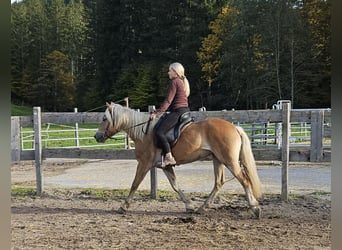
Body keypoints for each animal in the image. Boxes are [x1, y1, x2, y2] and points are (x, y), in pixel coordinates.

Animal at [93, 102, 262, 218]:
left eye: (104, 118)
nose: (96, 136)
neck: (144, 132)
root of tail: (235, 128)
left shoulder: (144, 164)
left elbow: (134, 184)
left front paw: (123, 206)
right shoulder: (165, 166)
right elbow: (175, 185)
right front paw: (189, 206)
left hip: (229, 161)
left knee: (244, 180)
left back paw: (254, 208)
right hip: (217, 159)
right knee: (218, 183)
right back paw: (202, 208)